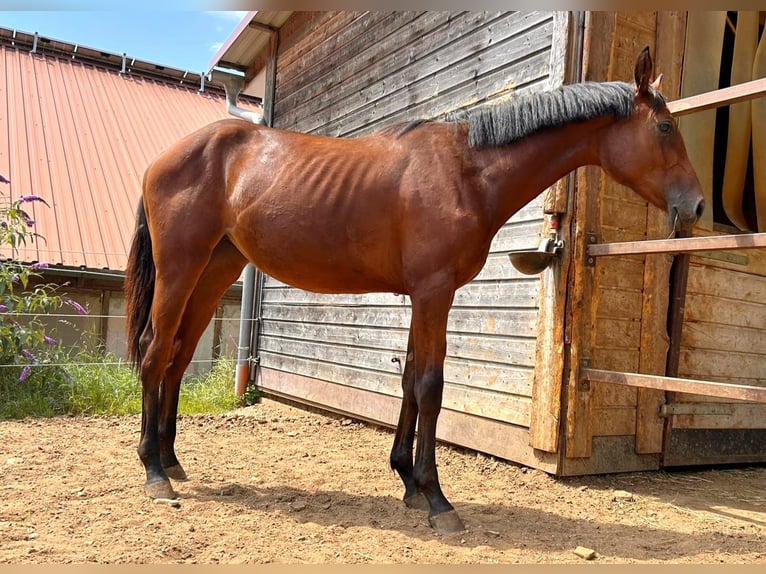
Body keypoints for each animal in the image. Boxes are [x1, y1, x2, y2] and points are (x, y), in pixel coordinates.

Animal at [127, 48, 708, 536]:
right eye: (663, 127)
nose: (697, 206)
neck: (468, 171)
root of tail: (163, 158)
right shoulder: (434, 293)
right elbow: (430, 385)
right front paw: (436, 497)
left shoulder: (420, 297)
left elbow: (408, 380)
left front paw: (406, 480)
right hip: (181, 269)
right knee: (155, 353)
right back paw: (155, 472)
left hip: (214, 272)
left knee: (178, 356)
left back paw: (172, 458)